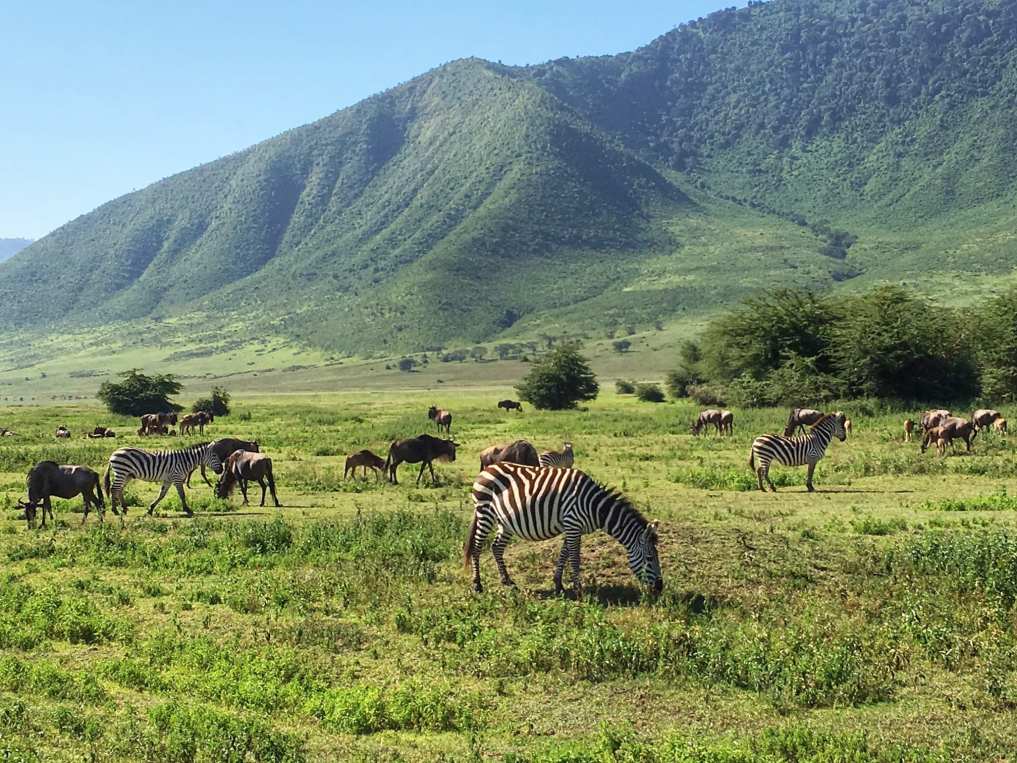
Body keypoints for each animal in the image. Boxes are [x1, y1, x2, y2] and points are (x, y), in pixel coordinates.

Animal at [465, 463, 663, 602]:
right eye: (650, 558)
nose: (660, 588)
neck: (594, 507)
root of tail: (486, 469)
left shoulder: (573, 527)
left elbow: (564, 554)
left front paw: (559, 585)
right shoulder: (572, 524)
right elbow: (574, 558)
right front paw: (579, 590)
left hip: (505, 521)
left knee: (496, 547)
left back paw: (507, 581)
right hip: (485, 512)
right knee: (477, 546)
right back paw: (477, 584)